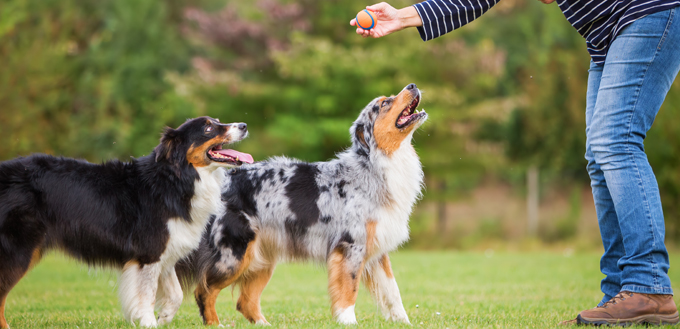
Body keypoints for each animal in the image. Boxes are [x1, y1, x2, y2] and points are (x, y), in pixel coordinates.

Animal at [0, 116, 252, 326]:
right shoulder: (149, 254)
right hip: (17, 250)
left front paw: (164, 316)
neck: (175, 179)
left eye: (217, 121)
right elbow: (147, 295)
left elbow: (176, 294)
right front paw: (149, 322)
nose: (244, 125)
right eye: (208, 128)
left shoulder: (166, 251)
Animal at [178, 83, 428, 324]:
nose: (412, 85)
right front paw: (348, 321)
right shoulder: (350, 246)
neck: (375, 166)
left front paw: (403, 322)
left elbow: (392, 292)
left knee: (245, 302)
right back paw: (214, 323)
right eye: (384, 103)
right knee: (204, 290)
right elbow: (349, 290)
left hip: (261, 258)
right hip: (233, 255)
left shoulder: (376, 250)